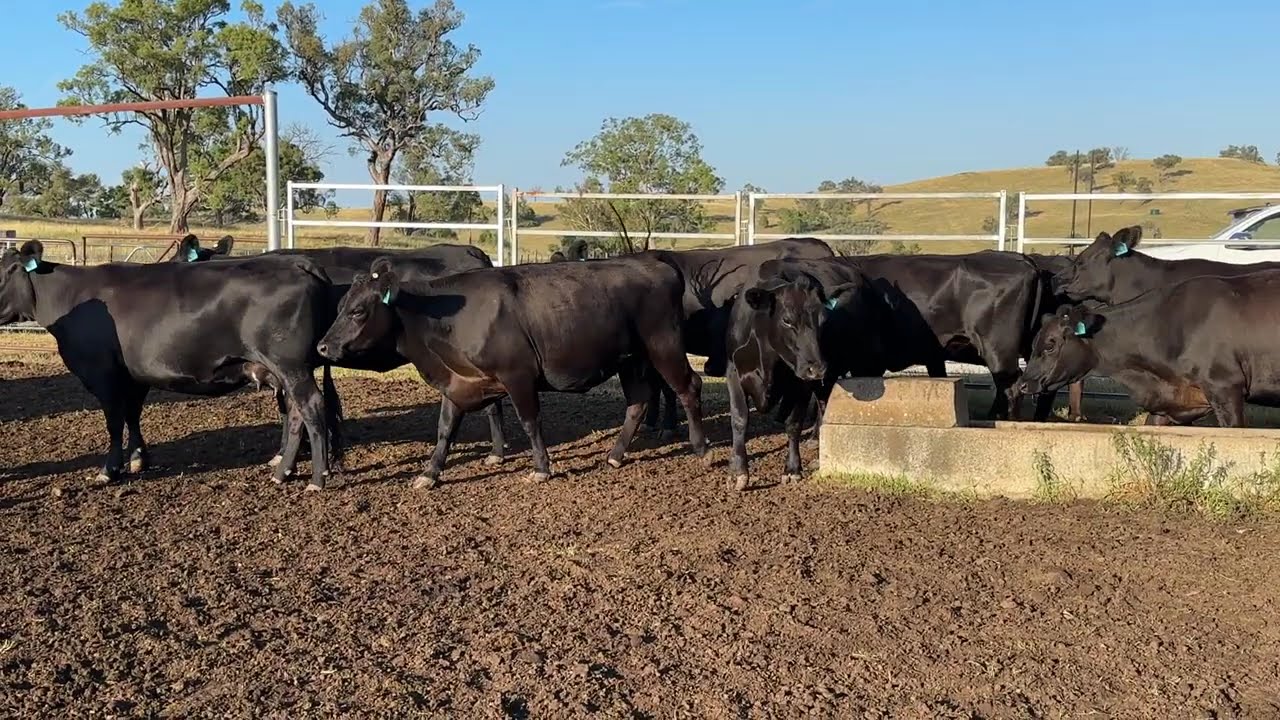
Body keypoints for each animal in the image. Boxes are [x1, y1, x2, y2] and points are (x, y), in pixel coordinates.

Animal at [0, 241, 335, 489]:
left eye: (2, 273)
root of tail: (298, 263)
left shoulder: (103, 374)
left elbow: (113, 422)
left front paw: (110, 469)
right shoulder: (134, 375)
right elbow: (132, 415)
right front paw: (138, 459)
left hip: (291, 366)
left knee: (312, 406)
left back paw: (317, 478)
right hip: (288, 370)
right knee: (296, 413)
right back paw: (284, 471)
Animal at [316, 254, 709, 488]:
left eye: (358, 311)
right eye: (340, 305)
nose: (322, 347)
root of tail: (656, 262)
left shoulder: (518, 376)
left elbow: (530, 421)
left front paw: (541, 467)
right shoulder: (458, 383)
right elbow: (444, 430)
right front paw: (429, 473)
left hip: (663, 346)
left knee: (689, 386)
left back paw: (701, 449)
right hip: (631, 360)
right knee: (638, 402)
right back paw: (614, 455)